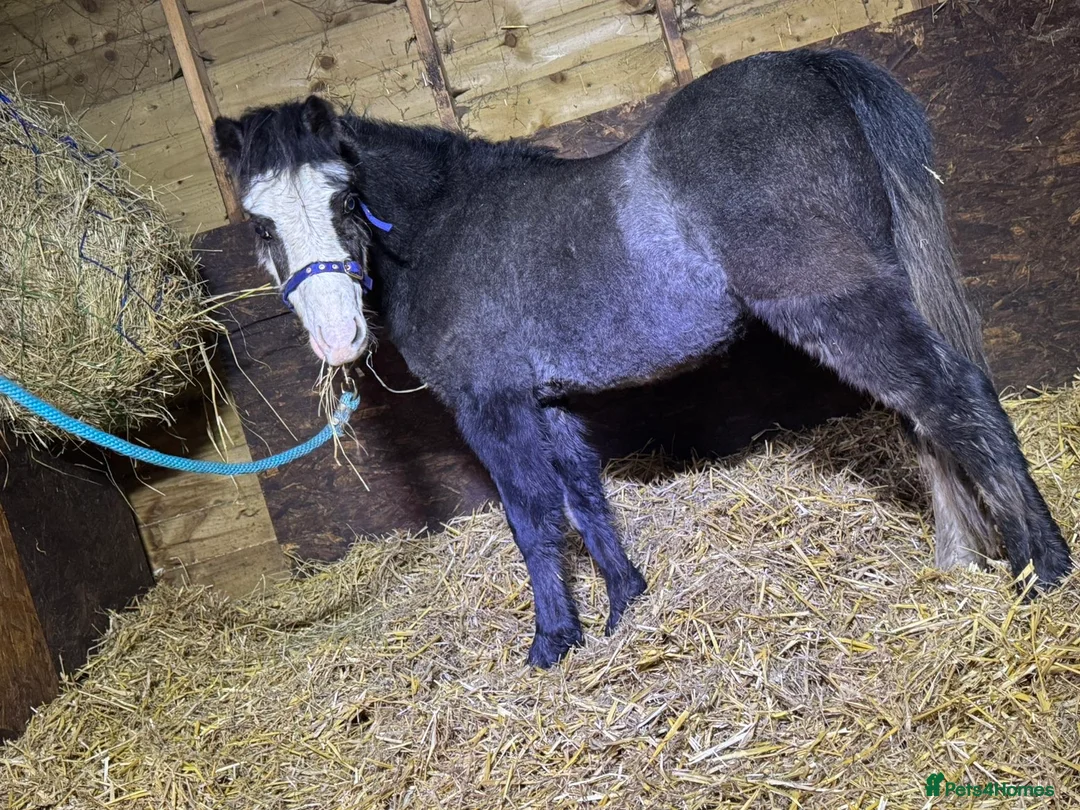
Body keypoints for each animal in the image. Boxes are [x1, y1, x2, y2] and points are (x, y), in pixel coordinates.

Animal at [213, 47, 1072, 668]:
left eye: (342, 198)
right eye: (260, 223)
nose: (338, 338)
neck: (442, 224)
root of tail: (813, 64)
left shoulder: (493, 405)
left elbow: (532, 517)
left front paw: (553, 643)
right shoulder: (547, 401)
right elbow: (585, 498)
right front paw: (626, 603)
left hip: (836, 303)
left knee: (954, 396)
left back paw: (1043, 567)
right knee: (927, 415)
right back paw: (965, 558)